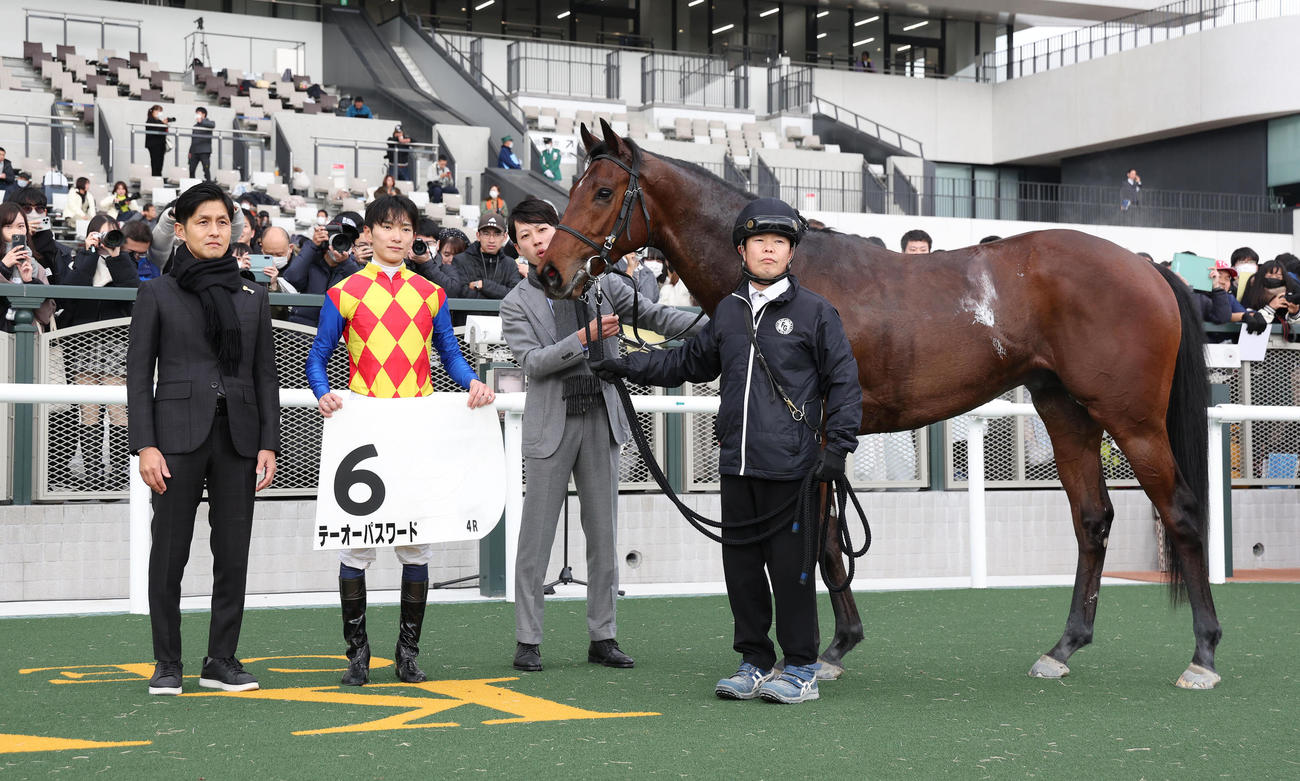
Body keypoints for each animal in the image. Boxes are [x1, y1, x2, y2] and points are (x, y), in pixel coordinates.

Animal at [537, 119, 1222, 689]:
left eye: (602, 192)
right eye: (572, 187)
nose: (548, 271)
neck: (786, 279)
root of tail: (1145, 264)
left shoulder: (814, 439)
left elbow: (815, 540)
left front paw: (822, 653)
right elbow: (829, 540)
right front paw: (839, 644)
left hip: (1132, 420)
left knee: (1182, 512)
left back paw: (1203, 655)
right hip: (1066, 412)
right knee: (1092, 520)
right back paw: (1063, 649)